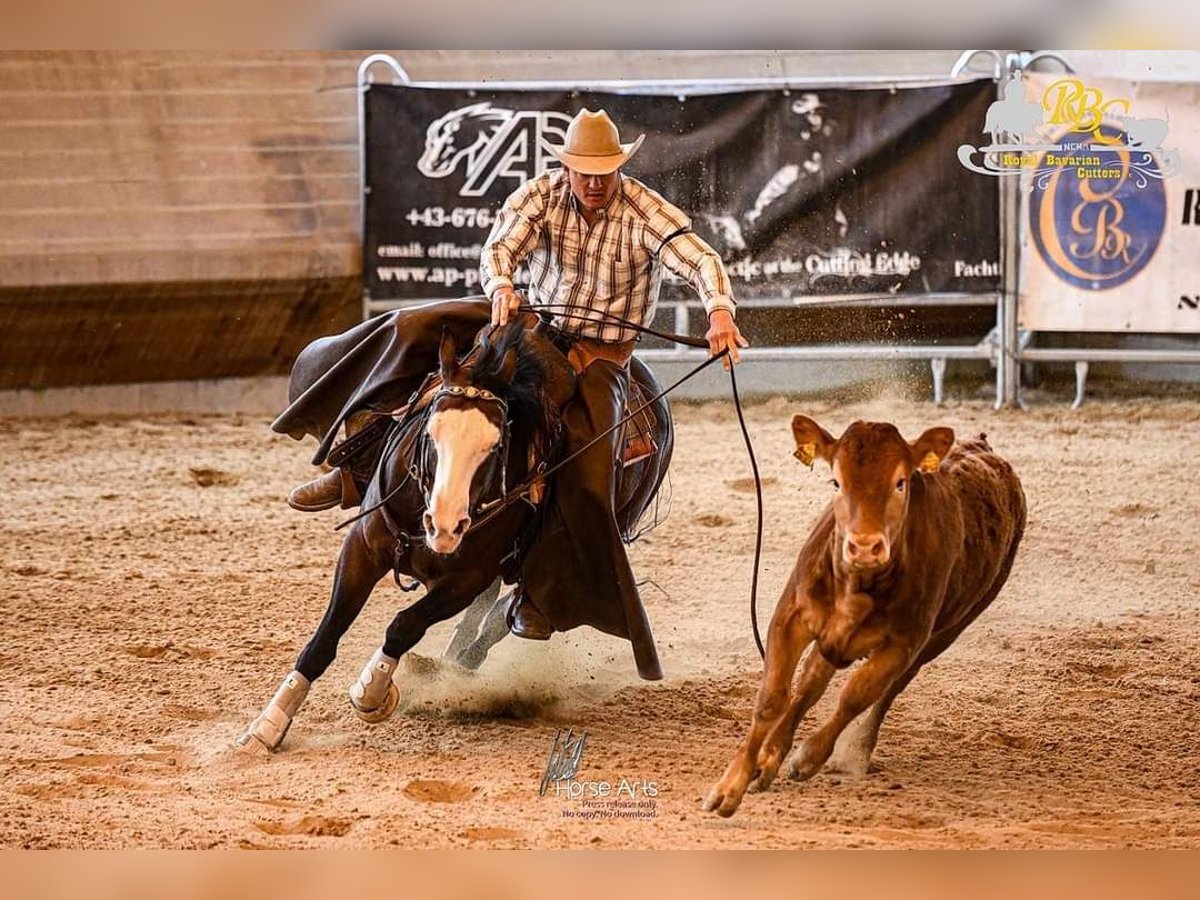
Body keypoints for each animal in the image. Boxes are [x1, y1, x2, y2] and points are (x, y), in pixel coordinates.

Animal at [237, 314, 672, 753]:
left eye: (496, 446)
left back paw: (458, 668)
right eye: (430, 432)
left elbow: (405, 625)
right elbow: (324, 639)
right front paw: (266, 726)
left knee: (502, 617)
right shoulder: (362, 548)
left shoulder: (465, 579)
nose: (444, 526)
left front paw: (372, 693)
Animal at [705, 415, 1027, 816]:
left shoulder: (903, 644)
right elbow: (773, 698)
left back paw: (852, 752)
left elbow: (855, 697)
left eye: (900, 482)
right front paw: (730, 786)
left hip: (947, 631)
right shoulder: (790, 618)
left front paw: (809, 757)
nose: (863, 546)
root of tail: (982, 447)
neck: (857, 585)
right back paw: (769, 760)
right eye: (836, 481)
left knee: (889, 689)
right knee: (811, 682)